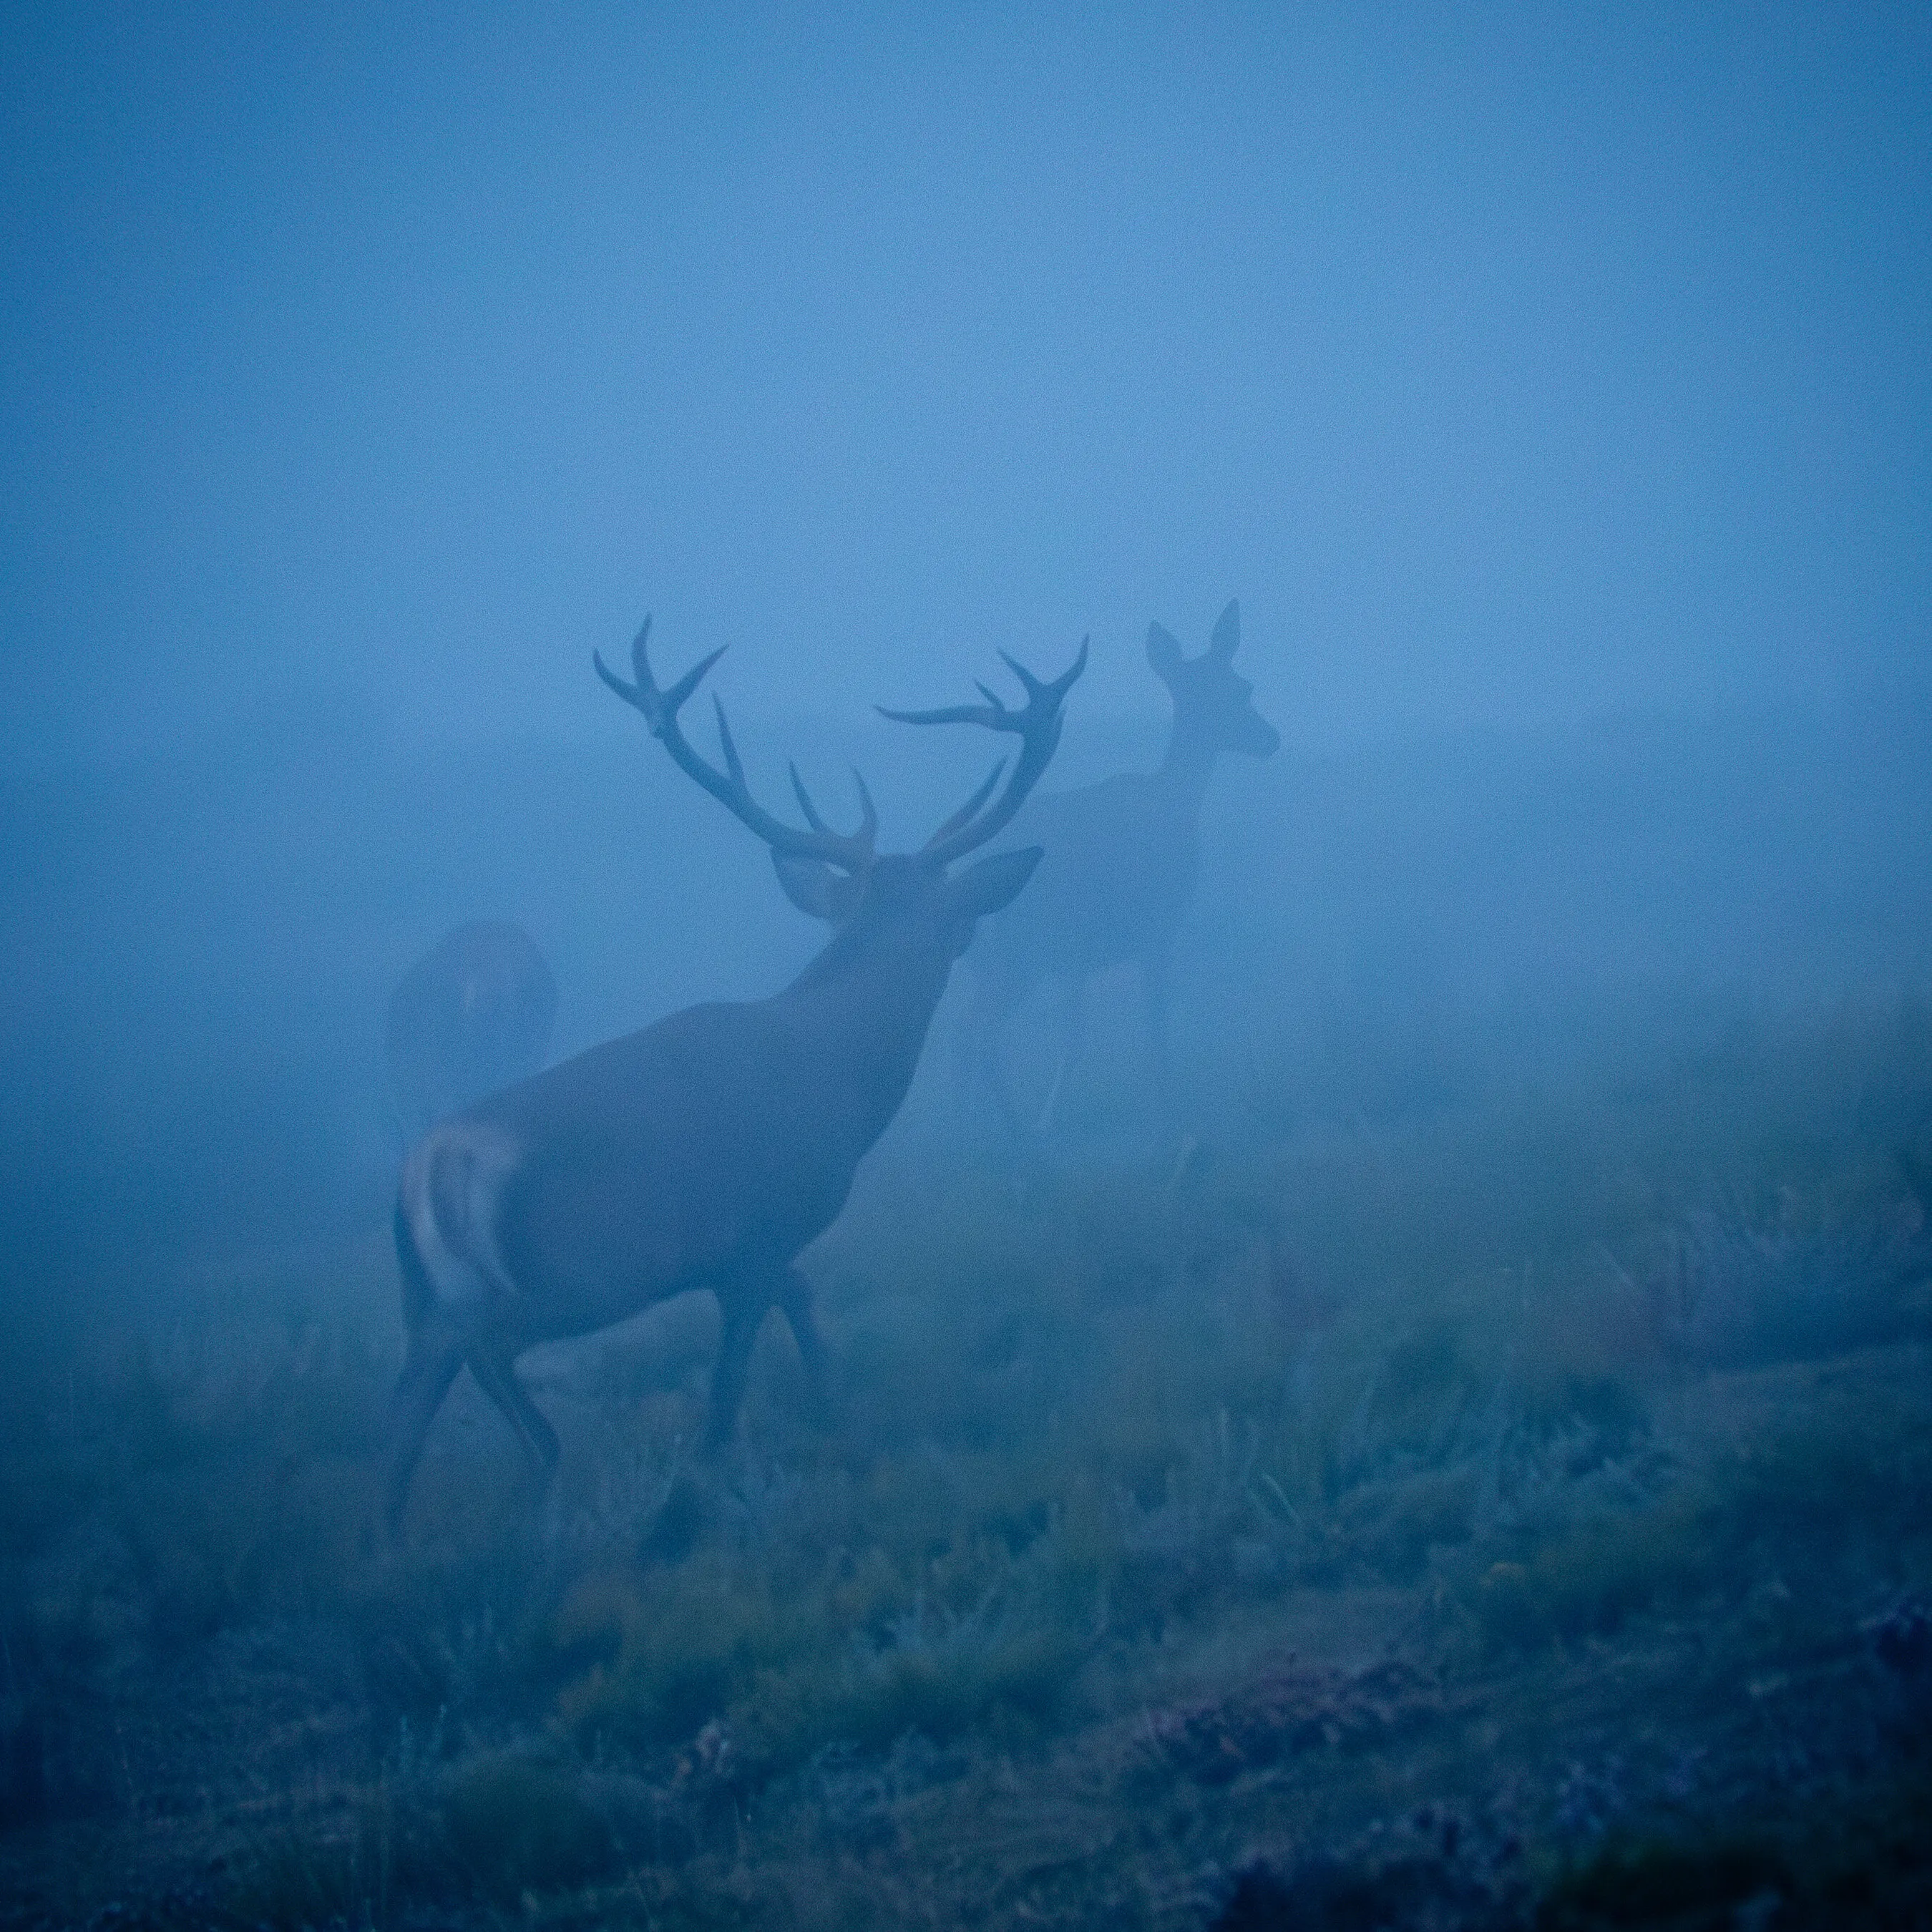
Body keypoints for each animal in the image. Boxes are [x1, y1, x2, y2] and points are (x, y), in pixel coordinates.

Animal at [908, 598, 1277, 1136]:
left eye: (1241, 684)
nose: (1269, 737)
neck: (1175, 804)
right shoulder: (1155, 933)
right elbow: (1154, 1033)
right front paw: (1166, 1117)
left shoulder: (1077, 959)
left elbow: (1075, 1035)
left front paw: (1053, 1114)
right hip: (1019, 950)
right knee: (974, 1036)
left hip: (1001, 958)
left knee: (968, 1038)